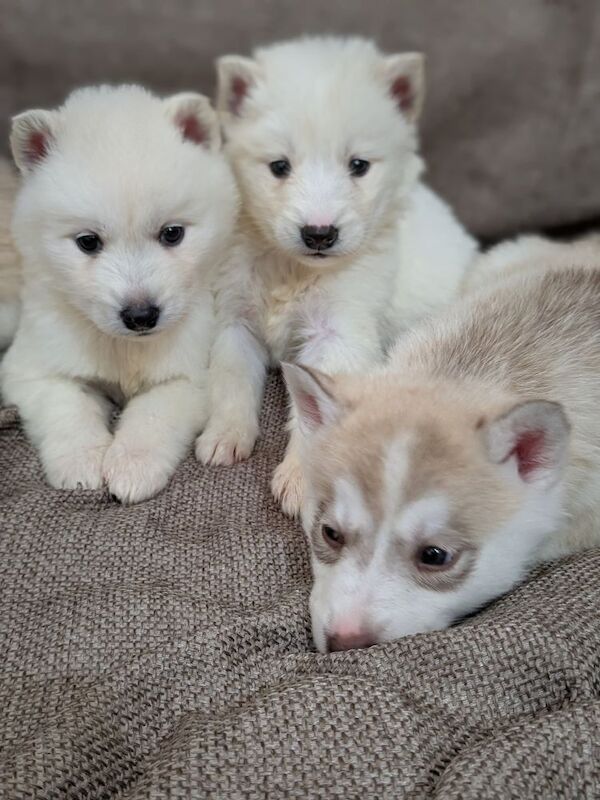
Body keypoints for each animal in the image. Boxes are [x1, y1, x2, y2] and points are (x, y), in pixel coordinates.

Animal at [4, 86, 239, 500]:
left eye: (172, 233)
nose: (141, 316)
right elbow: (67, 407)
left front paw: (132, 467)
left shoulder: (191, 373)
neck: (126, 349)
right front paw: (80, 461)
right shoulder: (33, 369)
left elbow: (153, 414)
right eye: (87, 242)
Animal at [197, 36, 478, 520]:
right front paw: (225, 435)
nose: (319, 233)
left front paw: (299, 478)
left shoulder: (340, 332)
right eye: (279, 166)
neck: (293, 269)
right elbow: (231, 380)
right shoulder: (234, 319)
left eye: (358, 165)